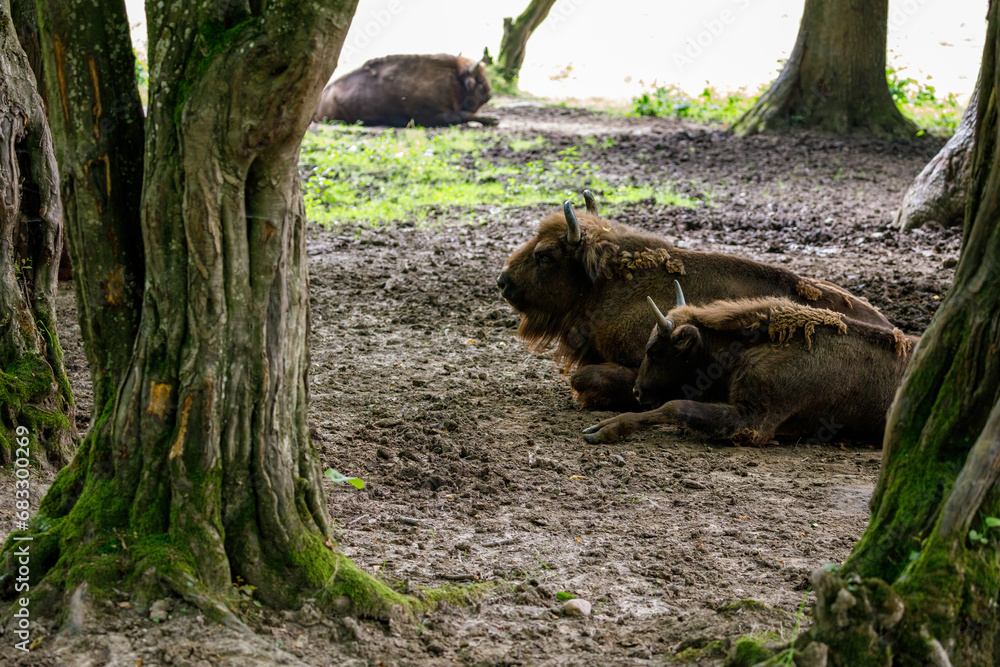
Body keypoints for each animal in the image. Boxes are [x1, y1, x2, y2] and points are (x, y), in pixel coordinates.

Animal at [314, 53, 496, 127]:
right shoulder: (433, 116)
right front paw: (493, 119)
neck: (453, 79)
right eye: (478, 79)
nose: (489, 94)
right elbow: (463, 115)